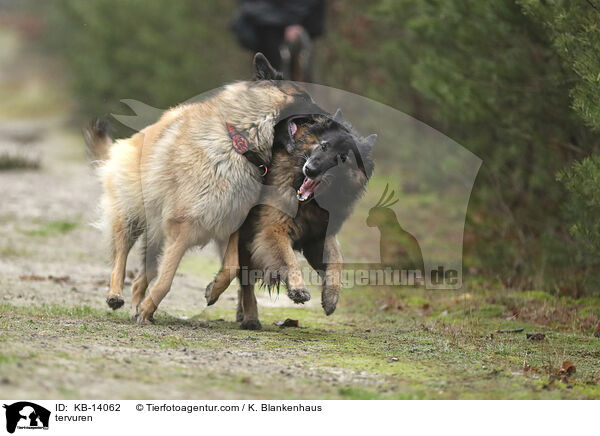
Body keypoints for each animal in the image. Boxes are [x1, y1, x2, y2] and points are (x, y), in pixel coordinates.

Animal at [86, 53, 322, 320]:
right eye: (304, 97)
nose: (331, 120)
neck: (237, 144)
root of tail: (123, 145)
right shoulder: (182, 229)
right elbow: (166, 281)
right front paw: (148, 309)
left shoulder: (230, 225)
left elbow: (231, 267)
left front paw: (213, 290)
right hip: (131, 216)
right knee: (121, 255)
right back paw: (116, 294)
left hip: (156, 236)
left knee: (141, 278)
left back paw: (137, 306)